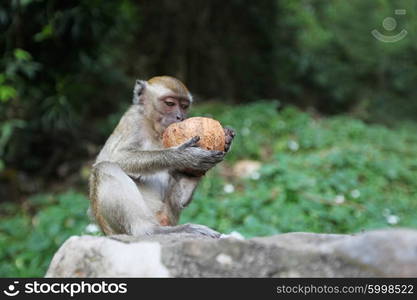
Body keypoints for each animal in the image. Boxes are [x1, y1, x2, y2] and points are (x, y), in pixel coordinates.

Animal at [88, 76, 234, 238]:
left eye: (184, 106)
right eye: (170, 103)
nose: (180, 117)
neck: (154, 129)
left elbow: (180, 201)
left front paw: (226, 140)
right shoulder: (133, 121)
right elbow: (117, 158)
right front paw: (184, 156)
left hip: (167, 215)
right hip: (116, 230)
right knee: (105, 167)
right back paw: (151, 230)